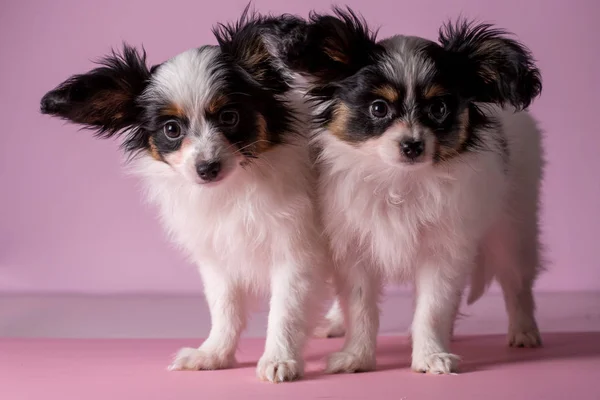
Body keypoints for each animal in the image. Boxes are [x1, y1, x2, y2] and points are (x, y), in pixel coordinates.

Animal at [39, 10, 328, 382]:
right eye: (172, 130)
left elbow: (286, 311)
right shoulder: (218, 257)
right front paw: (214, 354)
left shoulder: (297, 254)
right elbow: (224, 308)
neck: (236, 187)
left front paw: (280, 359)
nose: (207, 168)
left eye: (229, 117)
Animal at [278, 7, 548, 374]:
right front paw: (356, 357)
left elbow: (433, 307)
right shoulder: (353, 247)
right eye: (378, 108)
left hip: (513, 225)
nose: (412, 145)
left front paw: (431, 355)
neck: (399, 180)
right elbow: (359, 307)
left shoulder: (445, 249)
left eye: (439, 109)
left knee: (517, 281)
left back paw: (524, 331)